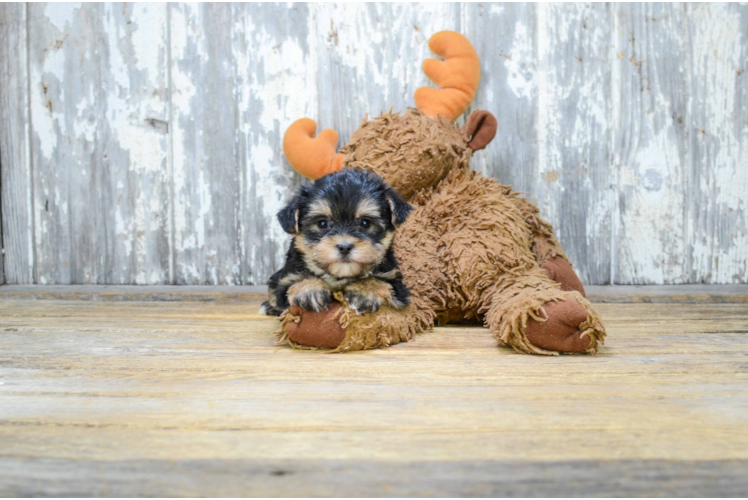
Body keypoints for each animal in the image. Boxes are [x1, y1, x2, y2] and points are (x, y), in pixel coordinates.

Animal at [262, 168, 414, 316]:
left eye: (365, 223)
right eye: (322, 223)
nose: (344, 247)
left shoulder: (396, 283)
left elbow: (381, 281)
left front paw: (365, 290)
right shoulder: (286, 279)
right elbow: (294, 283)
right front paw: (309, 289)